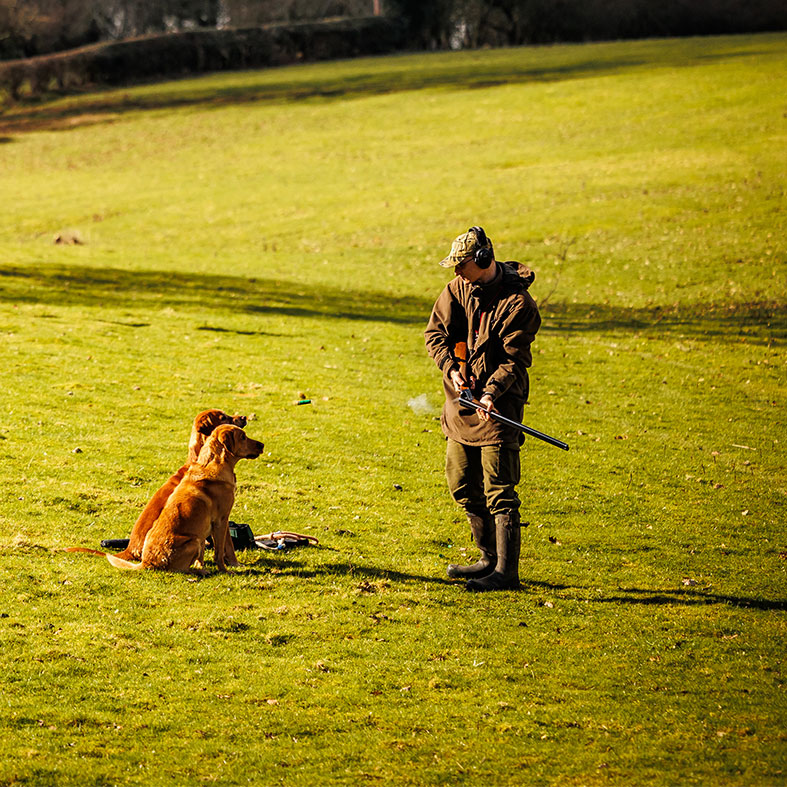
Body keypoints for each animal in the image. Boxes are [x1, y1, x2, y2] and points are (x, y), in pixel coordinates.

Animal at [68, 428, 264, 576]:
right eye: (243, 437)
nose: (262, 445)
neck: (213, 463)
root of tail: (146, 562)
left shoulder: (207, 528)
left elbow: (203, 558)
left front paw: (203, 565)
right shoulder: (221, 520)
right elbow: (220, 553)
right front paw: (226, 569)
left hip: (196, 538)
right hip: (193, 540)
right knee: (181, 570)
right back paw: (200, 572)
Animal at [114, 410, 246, 564]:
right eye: (223, 418)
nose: (243, 417)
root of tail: (130, 549)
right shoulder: (221, 516)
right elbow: (228, 544)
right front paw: (235, 563)